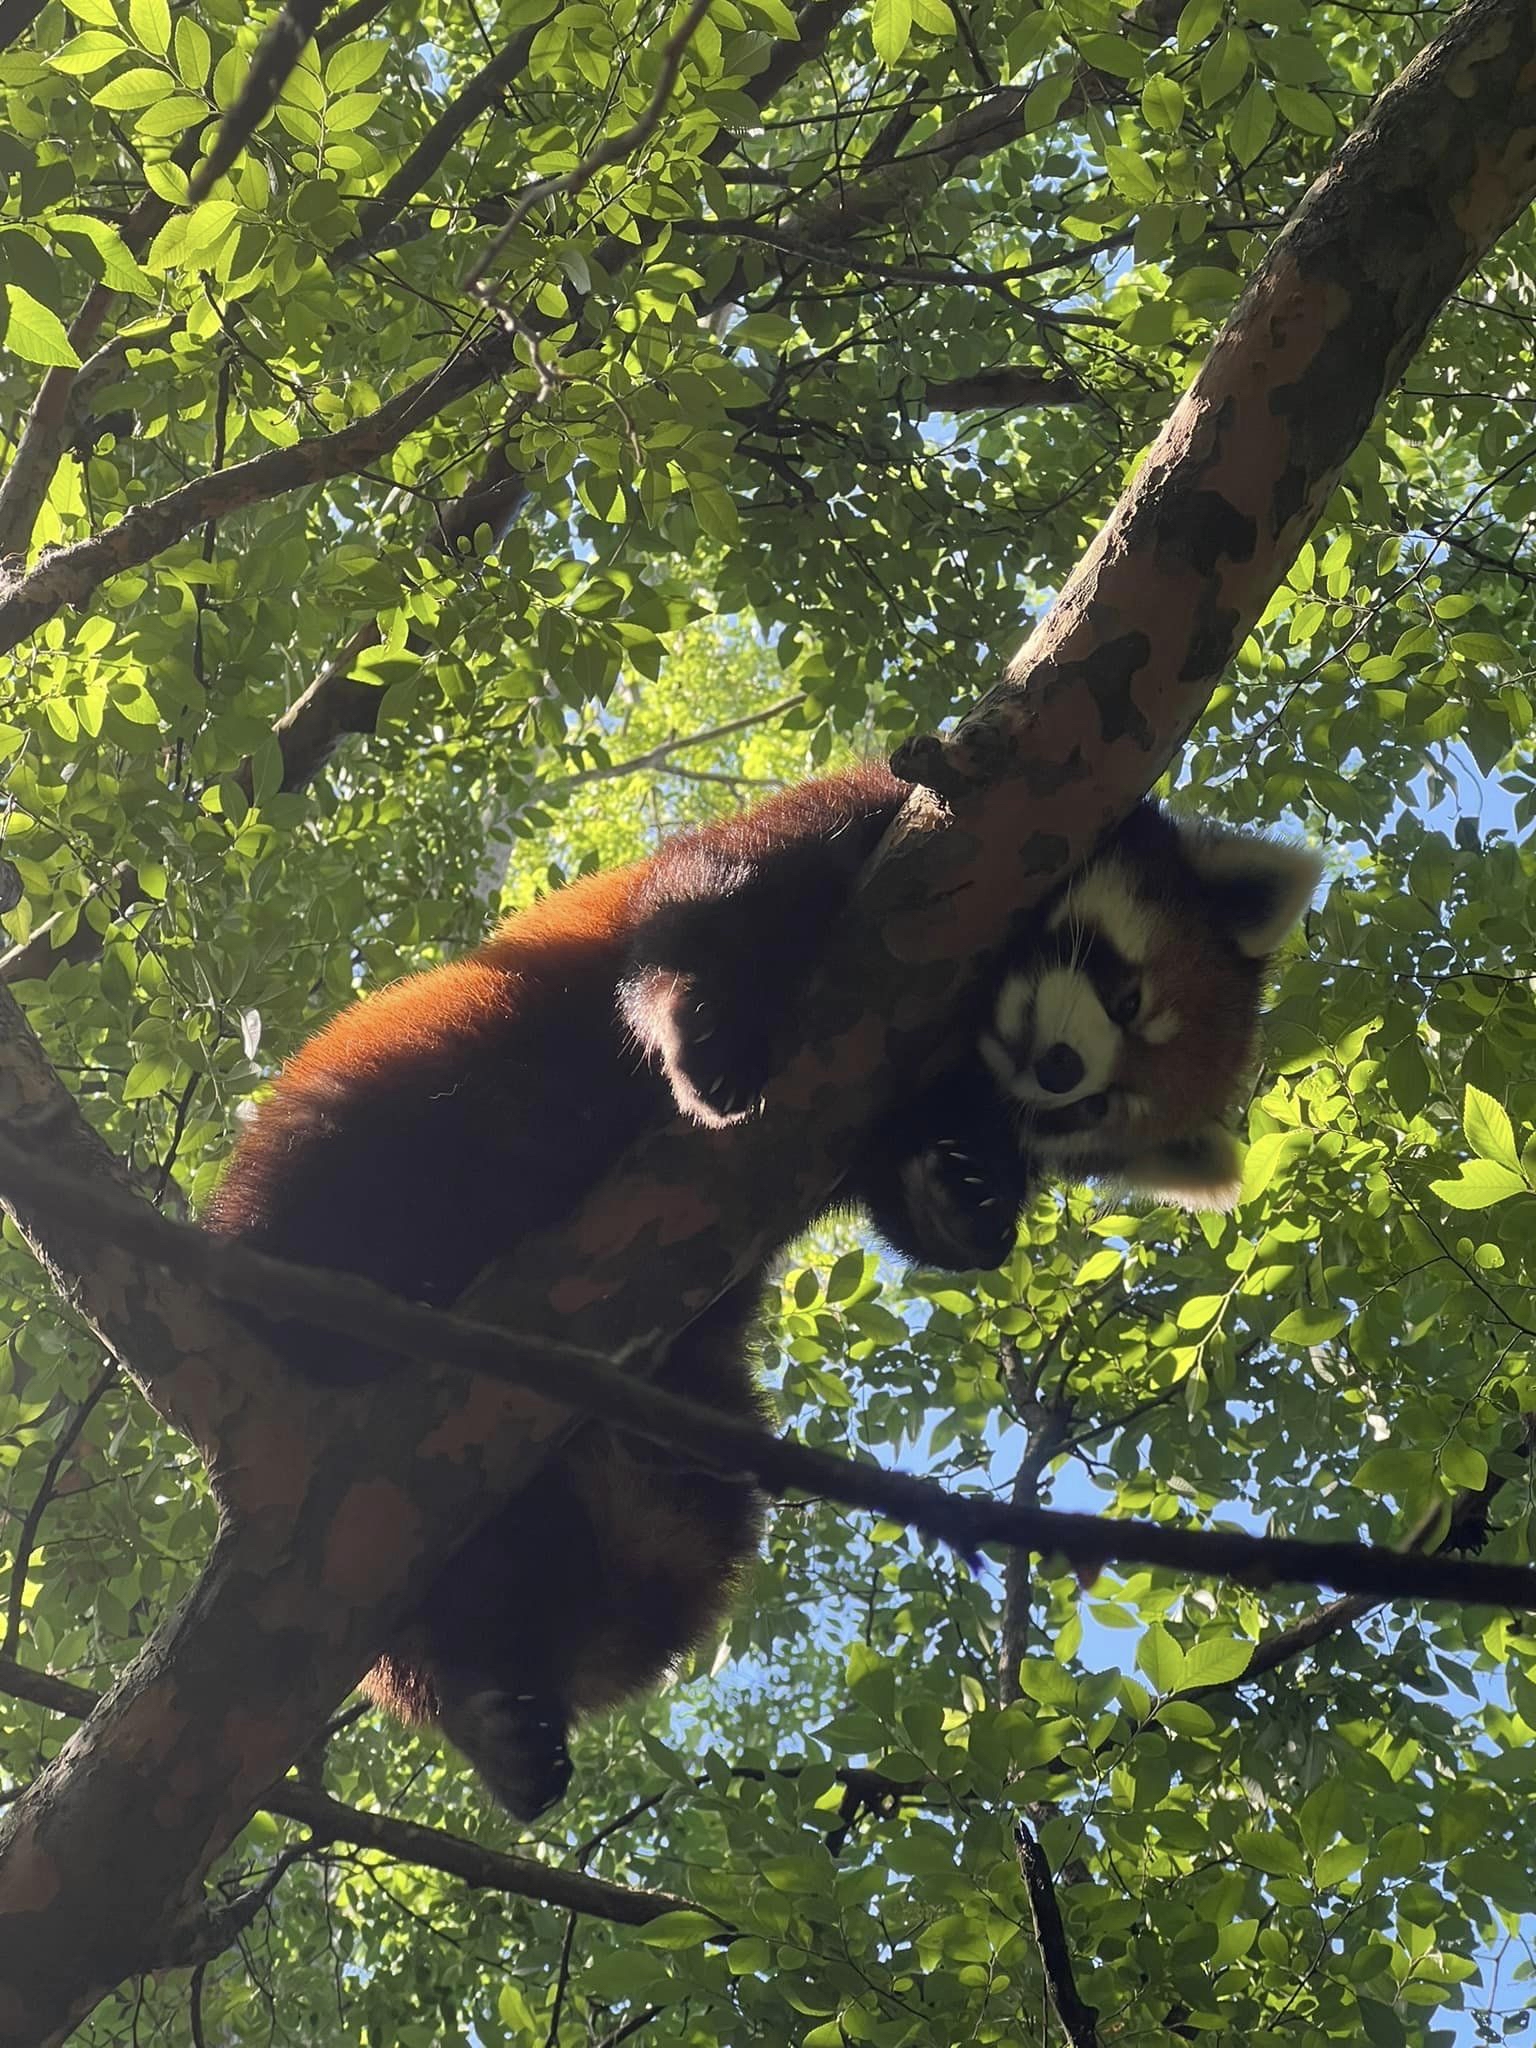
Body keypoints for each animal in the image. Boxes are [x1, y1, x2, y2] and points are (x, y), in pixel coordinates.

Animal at [198, 761, 1318, 1818]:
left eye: (1098, 1105)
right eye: (1126, 999)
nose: (1055, 1067)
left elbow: (907, 1182)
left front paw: (964, 1203)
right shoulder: (900, 827)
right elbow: (702, 908)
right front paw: (703, 1038)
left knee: (650, 1567)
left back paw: (494, 1712)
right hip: (422, 1095)